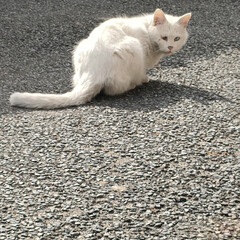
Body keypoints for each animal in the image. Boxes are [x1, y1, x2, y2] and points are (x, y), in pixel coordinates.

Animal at [9, 9, 191, 109]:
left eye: (176, 39)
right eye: (164, 37)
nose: (170, 47)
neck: (147, 29)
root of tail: (93, 73)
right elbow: (143, 72)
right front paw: (145, 78)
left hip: (79, 47)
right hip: (133, 47)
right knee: (115, 89)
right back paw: (135, 83)